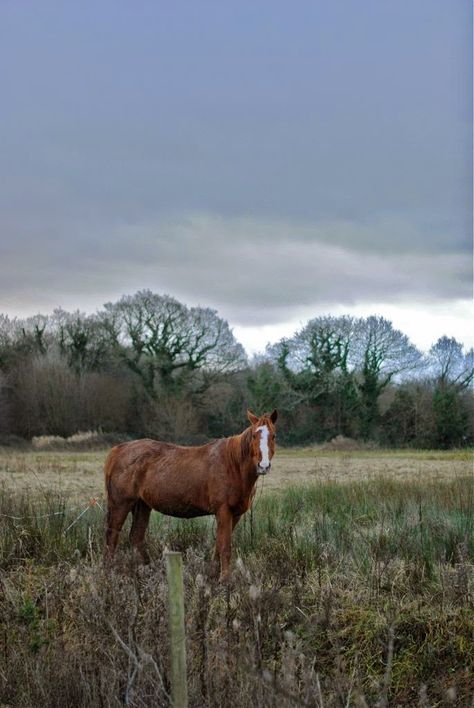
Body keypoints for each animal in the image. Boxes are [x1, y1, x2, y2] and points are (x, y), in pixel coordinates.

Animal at [103, 410, 278, 580]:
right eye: (254, 435)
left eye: (273, 436)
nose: (263, 466)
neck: (233, 465)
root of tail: (118, 450)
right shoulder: (223, 511)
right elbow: (225, 547)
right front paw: (224, 581)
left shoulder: (235, 515)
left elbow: (218, 545)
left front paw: (213, 575)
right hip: (121, 504)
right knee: (112, 537)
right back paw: (110, 572)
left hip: (142, 505)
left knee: (136, 538)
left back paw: (146, 571)